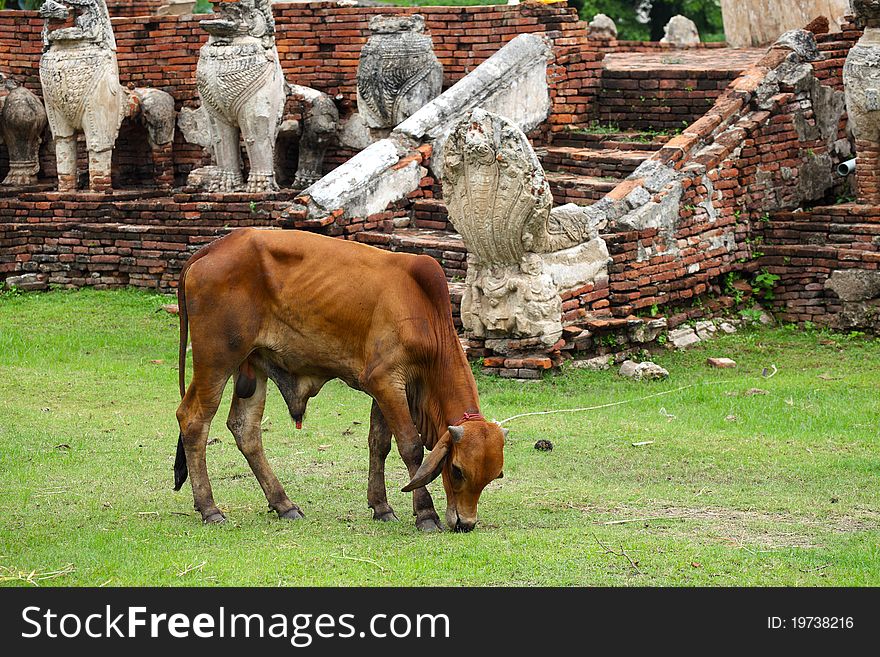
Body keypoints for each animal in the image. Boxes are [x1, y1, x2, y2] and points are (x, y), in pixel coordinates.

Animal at [173, 228, 506, 532]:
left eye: (491, 478)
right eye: (457, 470)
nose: (465, 523)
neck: (424, 314)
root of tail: (213, 248)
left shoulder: (385, 388)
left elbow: (379, 444)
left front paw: (381, 507)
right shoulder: (386, 381)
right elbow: (410, 446)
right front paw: (426, 514)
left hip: (254, 363)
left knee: (245, 429)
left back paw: (283, 504)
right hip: (218, 359)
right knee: (193, 419)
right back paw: (210, 509)